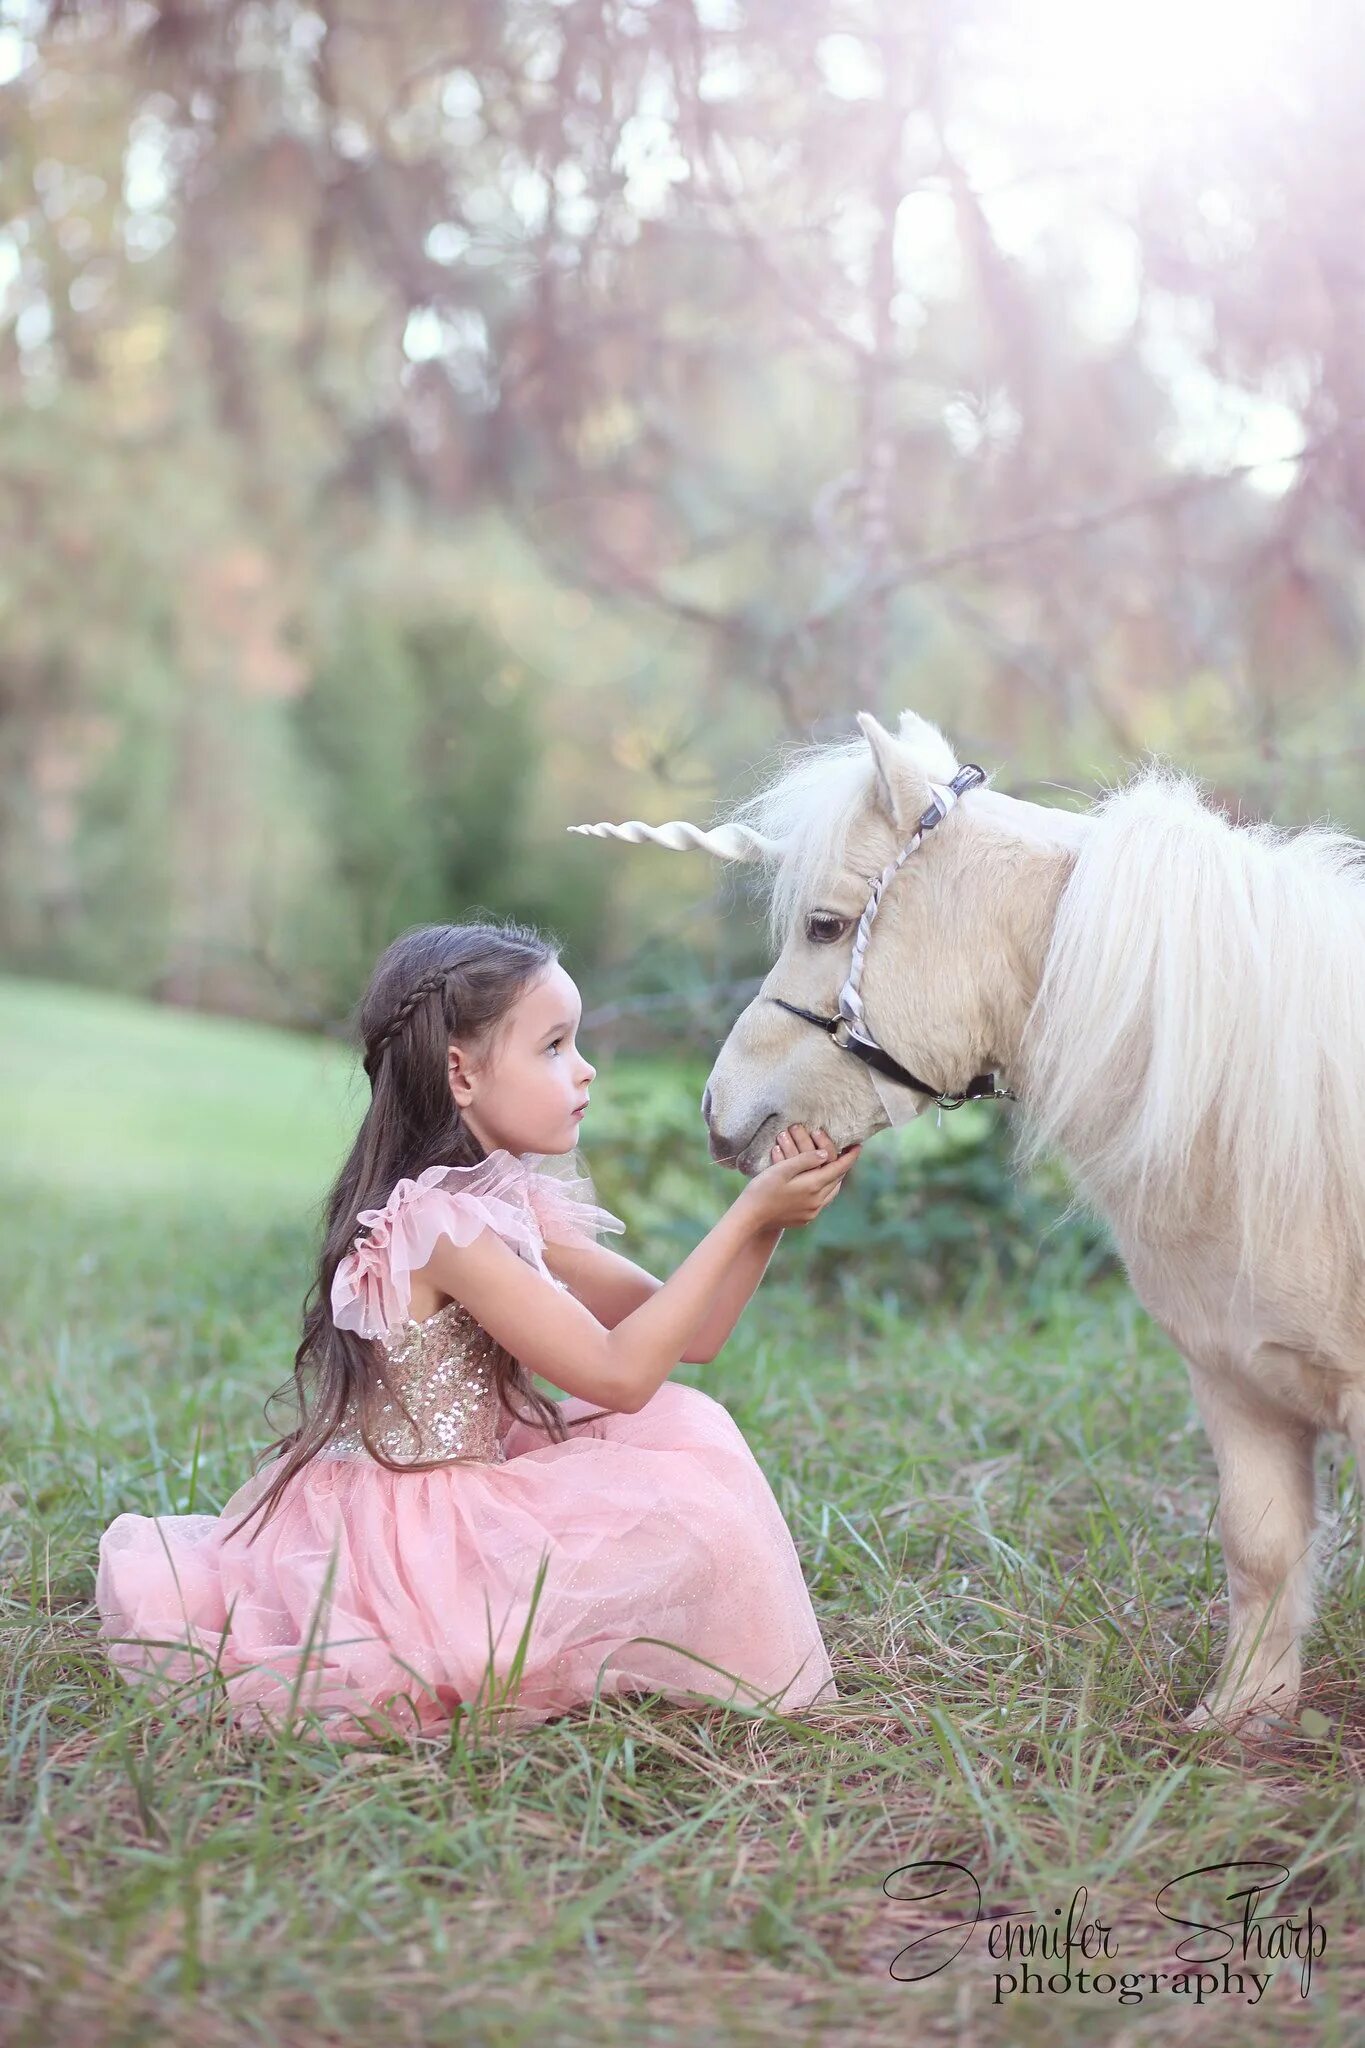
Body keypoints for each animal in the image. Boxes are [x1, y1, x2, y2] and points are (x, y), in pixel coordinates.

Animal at [573, 712, 1365, 1736]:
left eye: (825, 925)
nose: (717, 1109)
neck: (1285, 1113)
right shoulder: (1234, 1381)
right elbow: (1259, 1543)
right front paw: (1238, 1720)